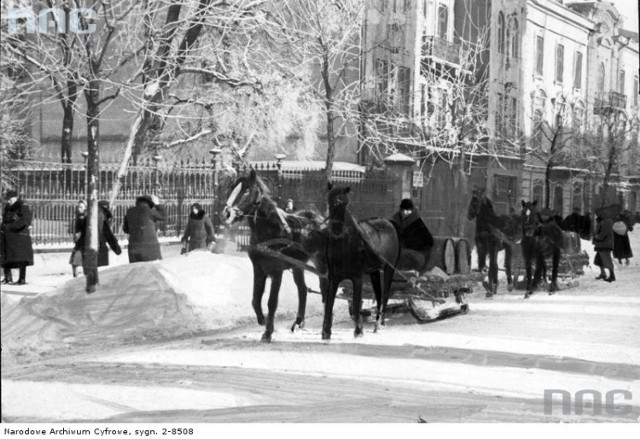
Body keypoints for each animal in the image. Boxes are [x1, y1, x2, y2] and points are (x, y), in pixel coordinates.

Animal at [222, 169, 328, 344]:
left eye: (247, 190)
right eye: (232, 188)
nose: (227, 213)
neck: (269, 231)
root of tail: (320, 221)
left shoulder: (276, 271)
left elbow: (272, 302)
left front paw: (268, 332)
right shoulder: (258, 268)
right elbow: (255, 299)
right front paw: (261, 320)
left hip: (321, 263)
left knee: (326, 290)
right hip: (298, 266)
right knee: (302, 289)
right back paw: (298, 322)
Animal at [324, 184, 400, 342]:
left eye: (345, 203)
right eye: (331, 201)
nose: (336, 230)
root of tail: (387, 222)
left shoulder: (357, 277)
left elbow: (357, 301)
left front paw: (358, 331)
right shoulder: (334, 278)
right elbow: (330, 302)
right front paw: (326, 332)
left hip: (389, 268)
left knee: (385, 294)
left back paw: (380, 323)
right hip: (374, 271)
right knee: (378, 295)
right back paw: (375, 324)